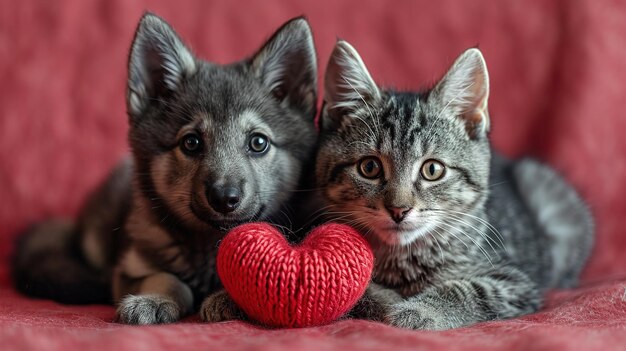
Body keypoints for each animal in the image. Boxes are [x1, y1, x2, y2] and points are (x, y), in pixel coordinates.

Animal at [11, 13, 316, 326]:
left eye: (258, 142)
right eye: (191, 143)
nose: (224, 199)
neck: (208, 244)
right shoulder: (129, 270)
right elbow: (167, 278)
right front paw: (154, 300)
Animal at [314, 41, 592, 330]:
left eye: (432, 170)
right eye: (369, 167)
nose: (398, 210)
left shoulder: (515, 282)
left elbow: (470, 292)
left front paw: (419, 311)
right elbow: (356, 291)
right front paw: (387, 302)